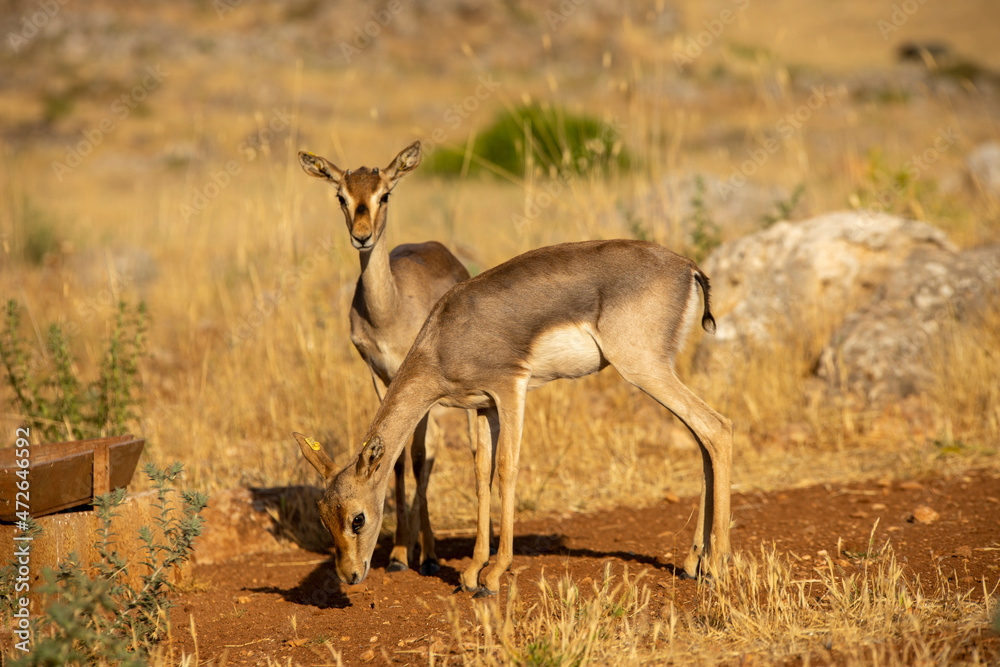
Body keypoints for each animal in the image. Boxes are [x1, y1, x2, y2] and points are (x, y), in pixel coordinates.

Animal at [293, 239, 733, 596]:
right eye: (324, 515)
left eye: (358, 518)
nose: (350, 575)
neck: (444, 338)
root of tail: (686, 266)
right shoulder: (483, 406)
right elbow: (481, 475)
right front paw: (470, 574)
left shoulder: (510, 388)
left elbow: (507, 469)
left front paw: (492, 577)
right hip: (656, 372)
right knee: (703, 439)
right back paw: (693, 563)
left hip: (644, 369)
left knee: (718, 427)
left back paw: (716, 570)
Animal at [298, 141, 472, 576]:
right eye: (341, 196)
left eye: (385, 194)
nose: (362, 237)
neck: (388, 312)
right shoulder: (378, 377)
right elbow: (393, 460)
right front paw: (397, 554)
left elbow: (417, 455)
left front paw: (423, 555)